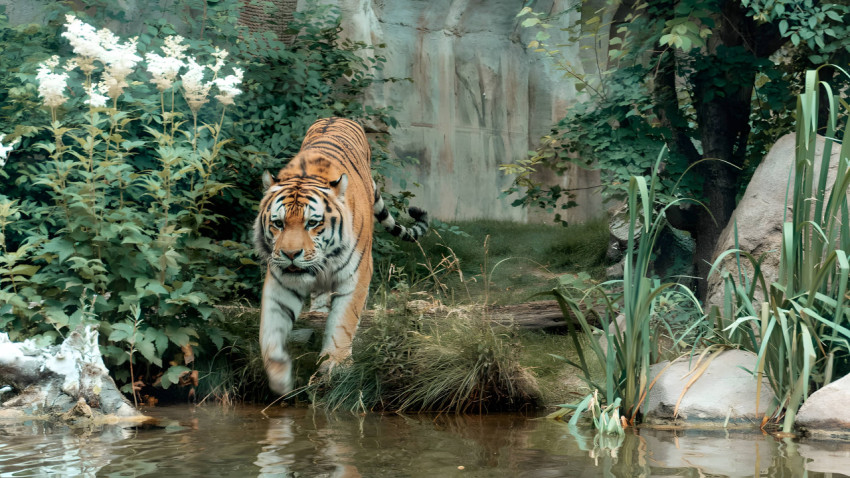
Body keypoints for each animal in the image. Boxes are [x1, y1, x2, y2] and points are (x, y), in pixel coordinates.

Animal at [253, 117, 429, 395]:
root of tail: (336, 117)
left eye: (312, 223)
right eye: (278, 224)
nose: (291, 254)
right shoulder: (282, 278)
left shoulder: (356, 274)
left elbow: (343, 322)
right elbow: (271, 326)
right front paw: (280, 375)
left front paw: (335, 366)